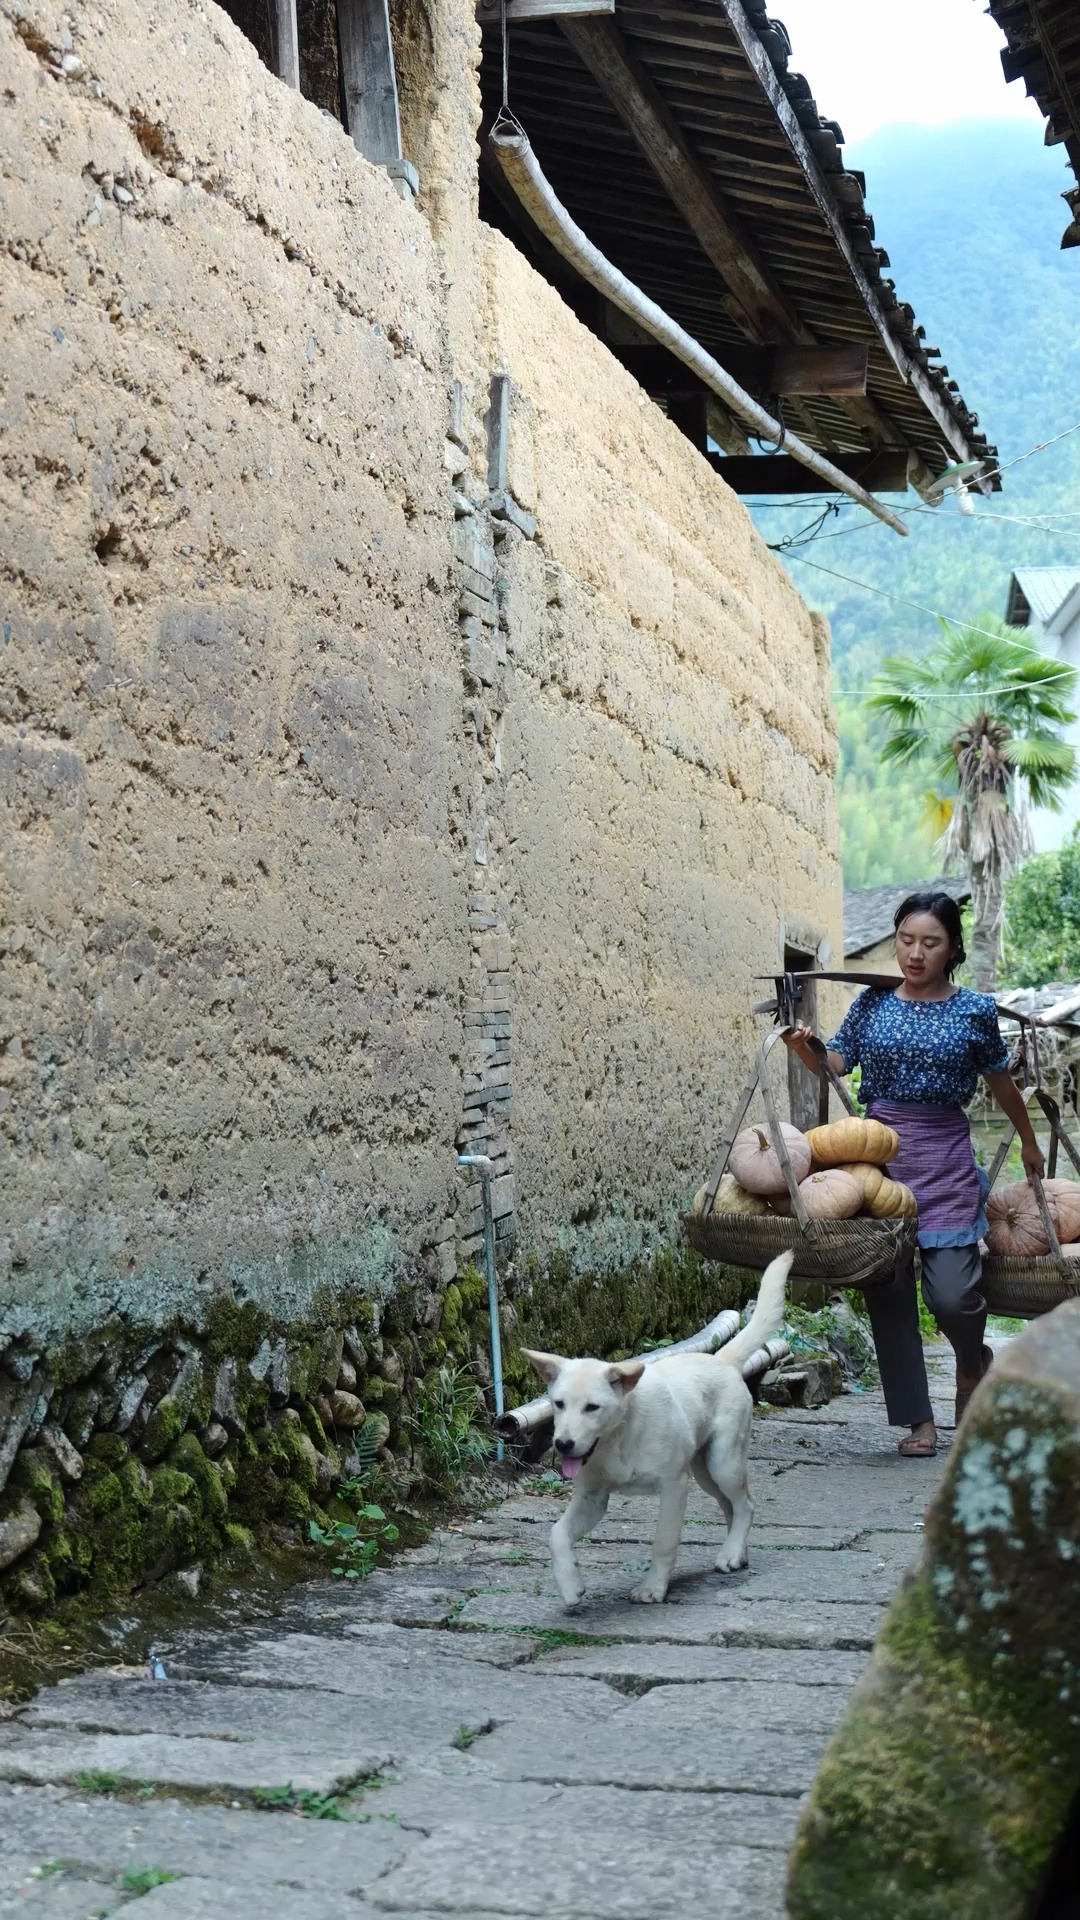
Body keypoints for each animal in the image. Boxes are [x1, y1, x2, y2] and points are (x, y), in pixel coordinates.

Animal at [522, 1251, 791, 1612]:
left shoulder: (674, 1487)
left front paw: (653, 1589)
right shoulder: (593, 1497)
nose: (563, 1444)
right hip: (705, 1471)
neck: (618, 1437)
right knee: (731, 1507)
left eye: (592, 1407)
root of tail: (721, 1360)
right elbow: (557, 1534)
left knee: (745, 1504)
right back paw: (737, 1552)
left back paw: (732, 1553)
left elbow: (664, 1541)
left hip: (723, 1462)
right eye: (558, 1404)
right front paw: (570, 1585)